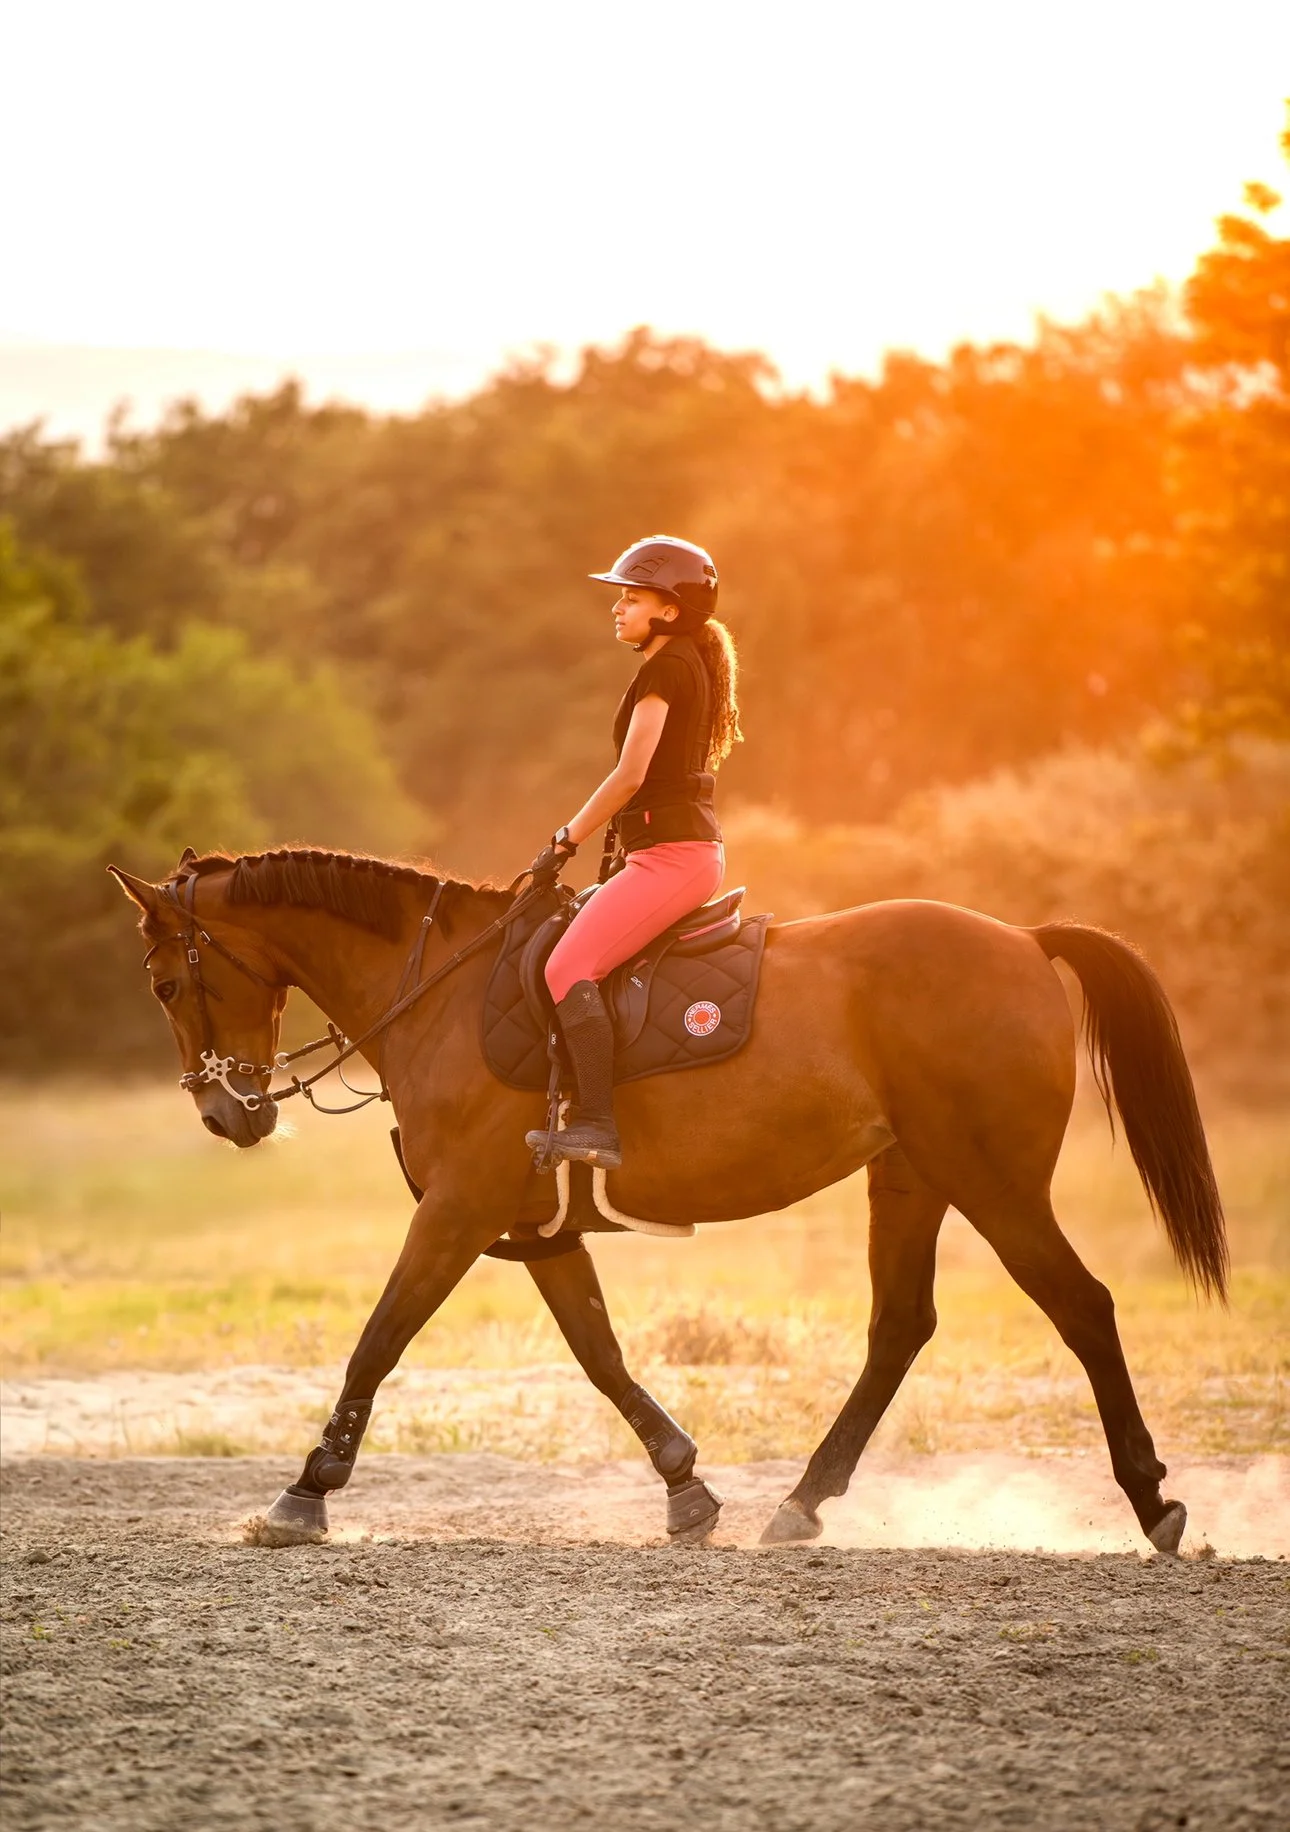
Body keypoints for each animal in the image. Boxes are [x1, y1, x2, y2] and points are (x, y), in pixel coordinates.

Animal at [109, 846, 1227, 1554]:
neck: (442, 995)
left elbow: (377, 1340)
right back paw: (802, 1504)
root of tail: (1024, 940)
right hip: (911, 1177)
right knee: (899, 1328)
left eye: (165, 982)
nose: (225, 1113)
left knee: (1081, 1306)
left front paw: (304, 1491)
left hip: (990, 1179)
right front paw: (686, 1486)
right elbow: (600, 1352)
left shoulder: (457, 1212)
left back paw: (1153, 1501)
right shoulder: (533, 1226)